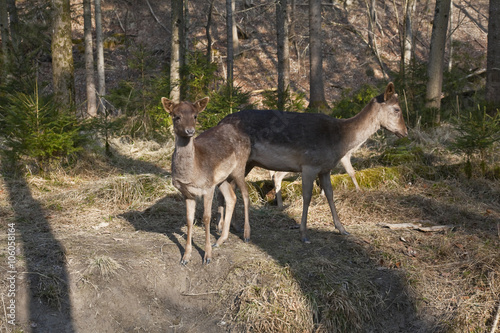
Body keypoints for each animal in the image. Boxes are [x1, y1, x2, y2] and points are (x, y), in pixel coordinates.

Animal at [163, 96, 252, 264]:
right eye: (176, 116)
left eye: (195, 115)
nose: (190, 131)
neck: (191, 175)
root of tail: (247, 136)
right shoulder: (187, 192)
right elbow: (189, 220)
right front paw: (185, 257)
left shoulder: (208, 187)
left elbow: (206, 218)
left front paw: (207, 256)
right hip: (222, 179)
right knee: (232, 197)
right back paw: (221, 239)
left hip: (240, 167)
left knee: (245, 194)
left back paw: (246, 235)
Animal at [221, 81, 408, 243]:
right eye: (397, 109)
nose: (405, 132)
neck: (340, 139)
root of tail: (220, 121)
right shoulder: (309, 165)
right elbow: (307, 196)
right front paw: (304, 233)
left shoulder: (325, 169)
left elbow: (330, 194)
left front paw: (342, 228)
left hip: (248, 162)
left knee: (231, 186)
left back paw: (233, 225)